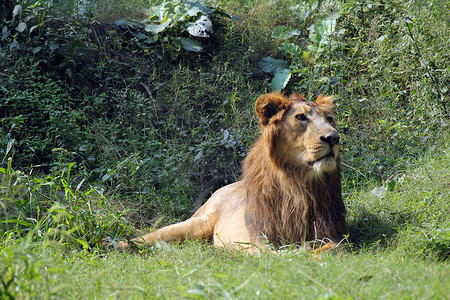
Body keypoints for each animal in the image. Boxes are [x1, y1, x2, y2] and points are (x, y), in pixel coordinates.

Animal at [120, 92, 348, 254]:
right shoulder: (260, 236)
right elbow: (273, 254)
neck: (298, 182)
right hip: (196, 224)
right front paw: (295, 253)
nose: (333, 137)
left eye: (329, 119)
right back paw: (119, 244)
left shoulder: (334, 233)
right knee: (149, 236)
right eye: (301, 117)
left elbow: (331, 249)